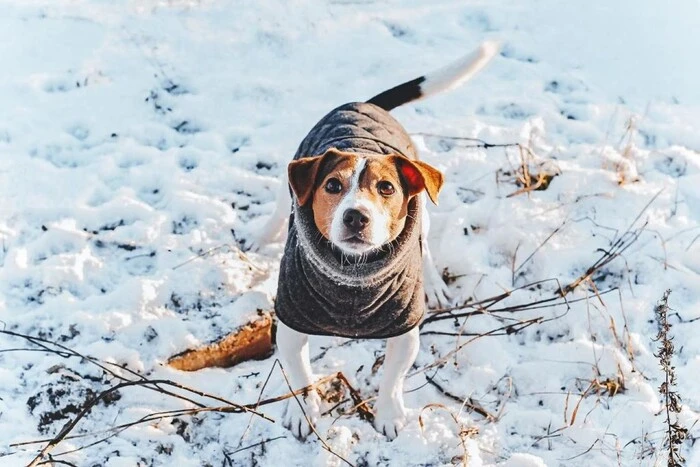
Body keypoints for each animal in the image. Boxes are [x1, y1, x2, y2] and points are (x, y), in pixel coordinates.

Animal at [250, 42, 498, 440]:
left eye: (387, 188)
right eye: (332, 185)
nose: (356, 216)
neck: (353, 275)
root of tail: (363, 105)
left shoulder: (405, 332)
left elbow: (393, 378)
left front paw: (389, 414)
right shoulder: (289, 325)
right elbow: (301, 376)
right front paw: (304, 413)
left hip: (423, 208)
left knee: (425, 245)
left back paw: (433, 284)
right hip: (290, 179)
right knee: (278, 207)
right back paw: (261, 236)